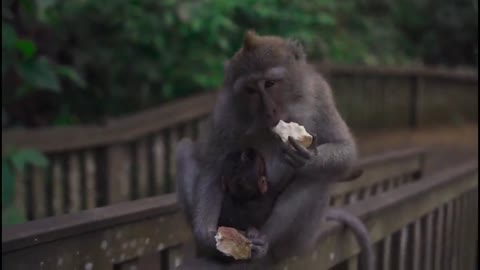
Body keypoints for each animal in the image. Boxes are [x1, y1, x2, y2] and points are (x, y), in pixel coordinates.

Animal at [178, 31, 366, 268]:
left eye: (270, 83)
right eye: (250, 90)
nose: (269, 111)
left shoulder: (319, 94)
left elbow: (346, 150)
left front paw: (308, 159)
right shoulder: (225, 110)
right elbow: (212, 167)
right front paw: (205, 235)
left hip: (299, 241)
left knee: (315, 179)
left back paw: (264, 241)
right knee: (185, 151)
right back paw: (211, 251)